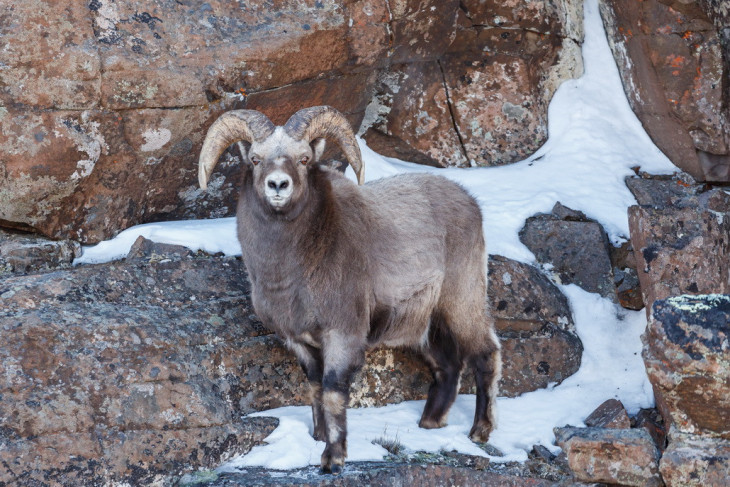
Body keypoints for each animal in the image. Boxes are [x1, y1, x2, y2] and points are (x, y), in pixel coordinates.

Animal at [196, 106, 498, 472]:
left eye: (303, 158)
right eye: (255, 159)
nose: (278, 185)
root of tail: (472, 204)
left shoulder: (342, 334)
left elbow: (333, 391)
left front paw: (333, 458)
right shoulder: (300, 342)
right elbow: (315, 388)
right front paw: (319, 438)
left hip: (462, 305)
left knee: (485, 355)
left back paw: (480, 431)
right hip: (426, 327)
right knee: (448, 367)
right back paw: (429, 424)